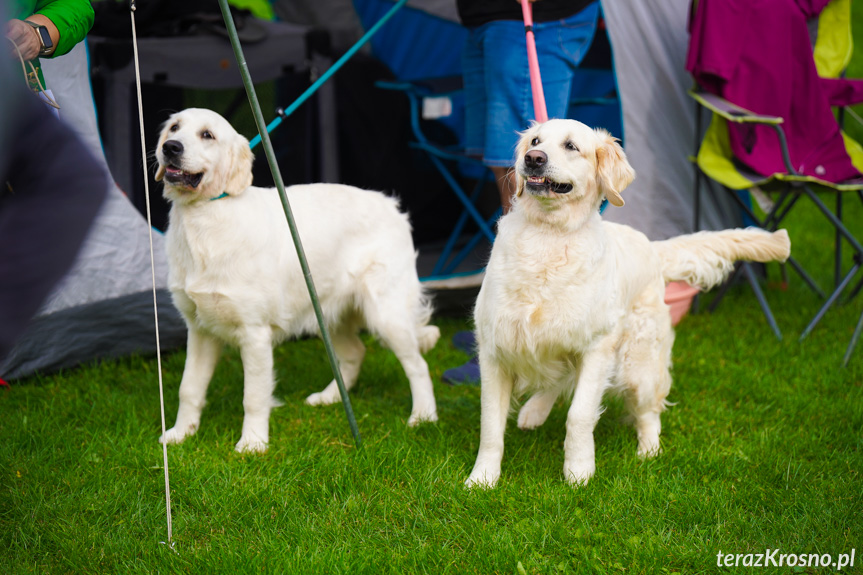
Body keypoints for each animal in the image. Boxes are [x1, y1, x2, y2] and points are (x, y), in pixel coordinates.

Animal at [154, 107, 438, 450]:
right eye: (174, 128)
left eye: (207, 135)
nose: (171, 148)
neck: (205, 219)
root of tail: (393, 206)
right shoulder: (199, 330)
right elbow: (189, 388)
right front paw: (180, 434)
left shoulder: (255, 334)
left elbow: (253, 397)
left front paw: (252, 444)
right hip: (327, 314)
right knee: (355, 353)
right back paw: (329, 398)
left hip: (386, 315)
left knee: (419, 366)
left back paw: (423, 416)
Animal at [466, 119, 788, 488]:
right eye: (535, 141)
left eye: (571, 146)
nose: (533, 159)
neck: (548, 237)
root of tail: (651, 246)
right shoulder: (495, 350)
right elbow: (491, 425)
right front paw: (482, 478)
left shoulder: (596, 347)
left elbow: (579, 414)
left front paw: (578, 471)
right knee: (559, 380)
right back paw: (535, 412)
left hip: (638, 365)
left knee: (649, 412)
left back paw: (648, 451)